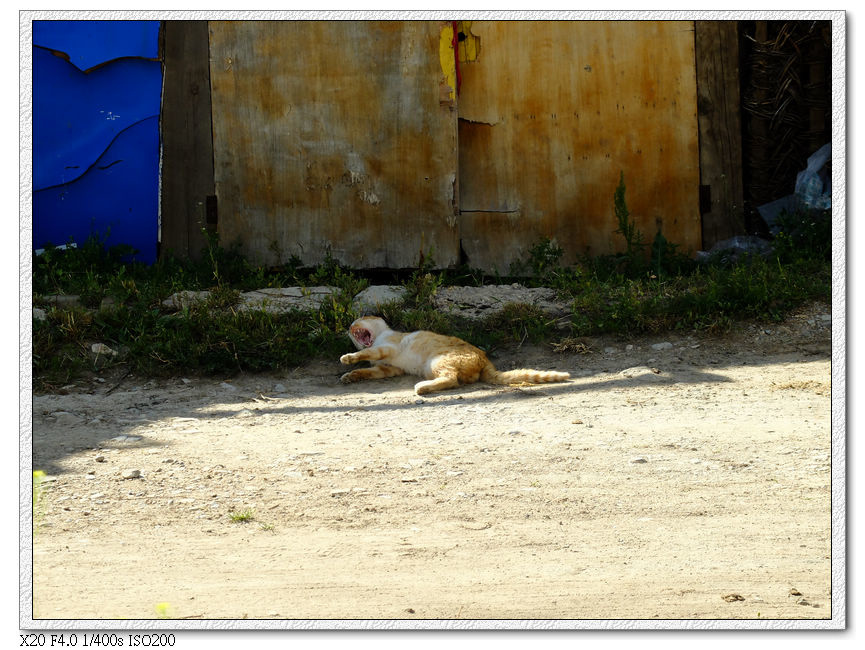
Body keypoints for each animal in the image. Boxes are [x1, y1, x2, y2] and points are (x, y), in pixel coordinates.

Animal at [340, 316, 572, 394]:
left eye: (360, 318)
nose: (348, 326)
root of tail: (486, 360)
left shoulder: (387, 347)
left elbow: (365, 353)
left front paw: (348, 358)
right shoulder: (388, 368)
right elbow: (368, 371)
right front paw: (350, 376)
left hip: (436, 361)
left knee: (451, 380)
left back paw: (422, 388)